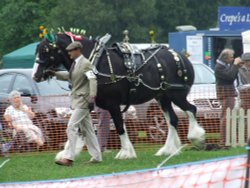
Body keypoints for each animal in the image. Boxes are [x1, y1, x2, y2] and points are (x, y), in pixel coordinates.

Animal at [32, 32, 205, 159]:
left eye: (45, 51)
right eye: (37, 50)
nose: (35, 75)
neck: (95, 62)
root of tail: (181, 57)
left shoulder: (113, 104)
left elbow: (120, 126)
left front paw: (126, 152)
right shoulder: (88, 104)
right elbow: (78, 127)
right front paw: (68, 152)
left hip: (177, 95)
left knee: (191, 109)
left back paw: (195, 136)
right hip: (162, 97)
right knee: (173, 120)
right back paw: (168, 149)